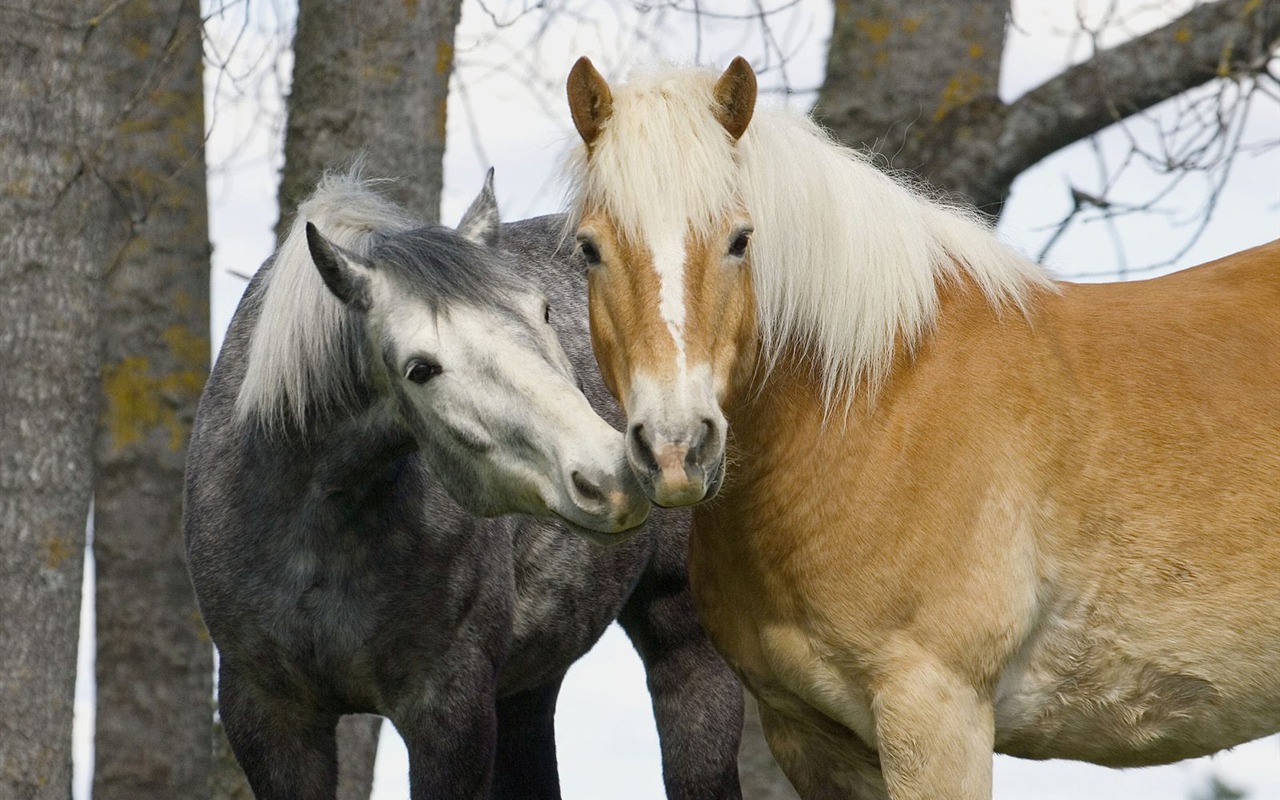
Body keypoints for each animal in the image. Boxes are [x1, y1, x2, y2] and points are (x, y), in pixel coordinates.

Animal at [179, 170, 742, 798]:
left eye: (544, 312)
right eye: (420, 369)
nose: (612, 476)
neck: (316, 527)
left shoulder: (450, 712)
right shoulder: (270, 717)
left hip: (685, 645)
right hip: (528, 684)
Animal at [565, 57, 1280, 798]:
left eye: (739, 240)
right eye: (590, 249)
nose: (676, 448)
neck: (874, 406)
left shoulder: (935, 712)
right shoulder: (812, 739)